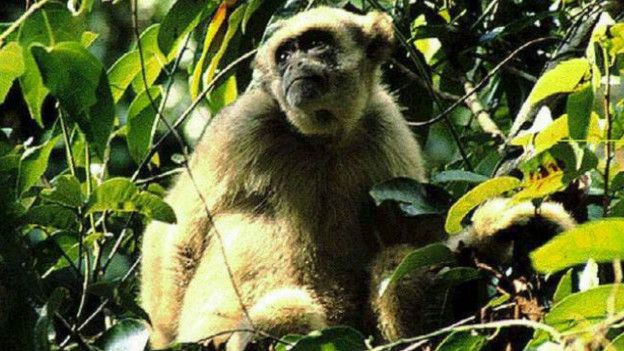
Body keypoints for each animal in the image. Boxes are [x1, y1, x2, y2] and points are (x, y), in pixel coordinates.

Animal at [139, 6, 428, 350]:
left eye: (315, 43)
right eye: (285, 55)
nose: (295, 64)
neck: (321, 141)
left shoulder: (386, 126)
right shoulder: (242, 123)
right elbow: (175, 234)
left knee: (398, 259)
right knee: (292, 308)